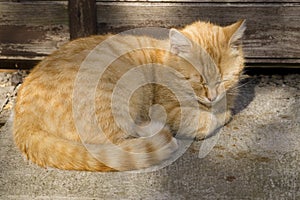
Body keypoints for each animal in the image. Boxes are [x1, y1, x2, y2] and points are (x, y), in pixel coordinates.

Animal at [12, 19, 246, 171]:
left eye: (223, 79)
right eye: (199, 81)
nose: (213, 96)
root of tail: (23, 120)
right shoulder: (170, 110)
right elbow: (208, 120)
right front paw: (218, 115)